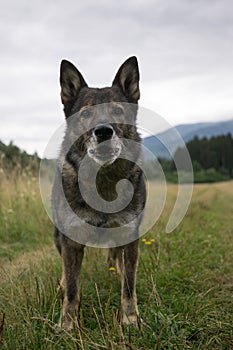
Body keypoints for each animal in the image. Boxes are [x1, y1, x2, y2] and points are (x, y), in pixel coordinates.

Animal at [52, 56, 147, 330]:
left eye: (117, 111)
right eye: (86, 113)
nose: (103, 131)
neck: (102, 181)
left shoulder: (129, 236)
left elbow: (129, 285)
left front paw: (129, 319)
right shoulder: (70, 240)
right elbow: (72, 288)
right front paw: (68, 324)